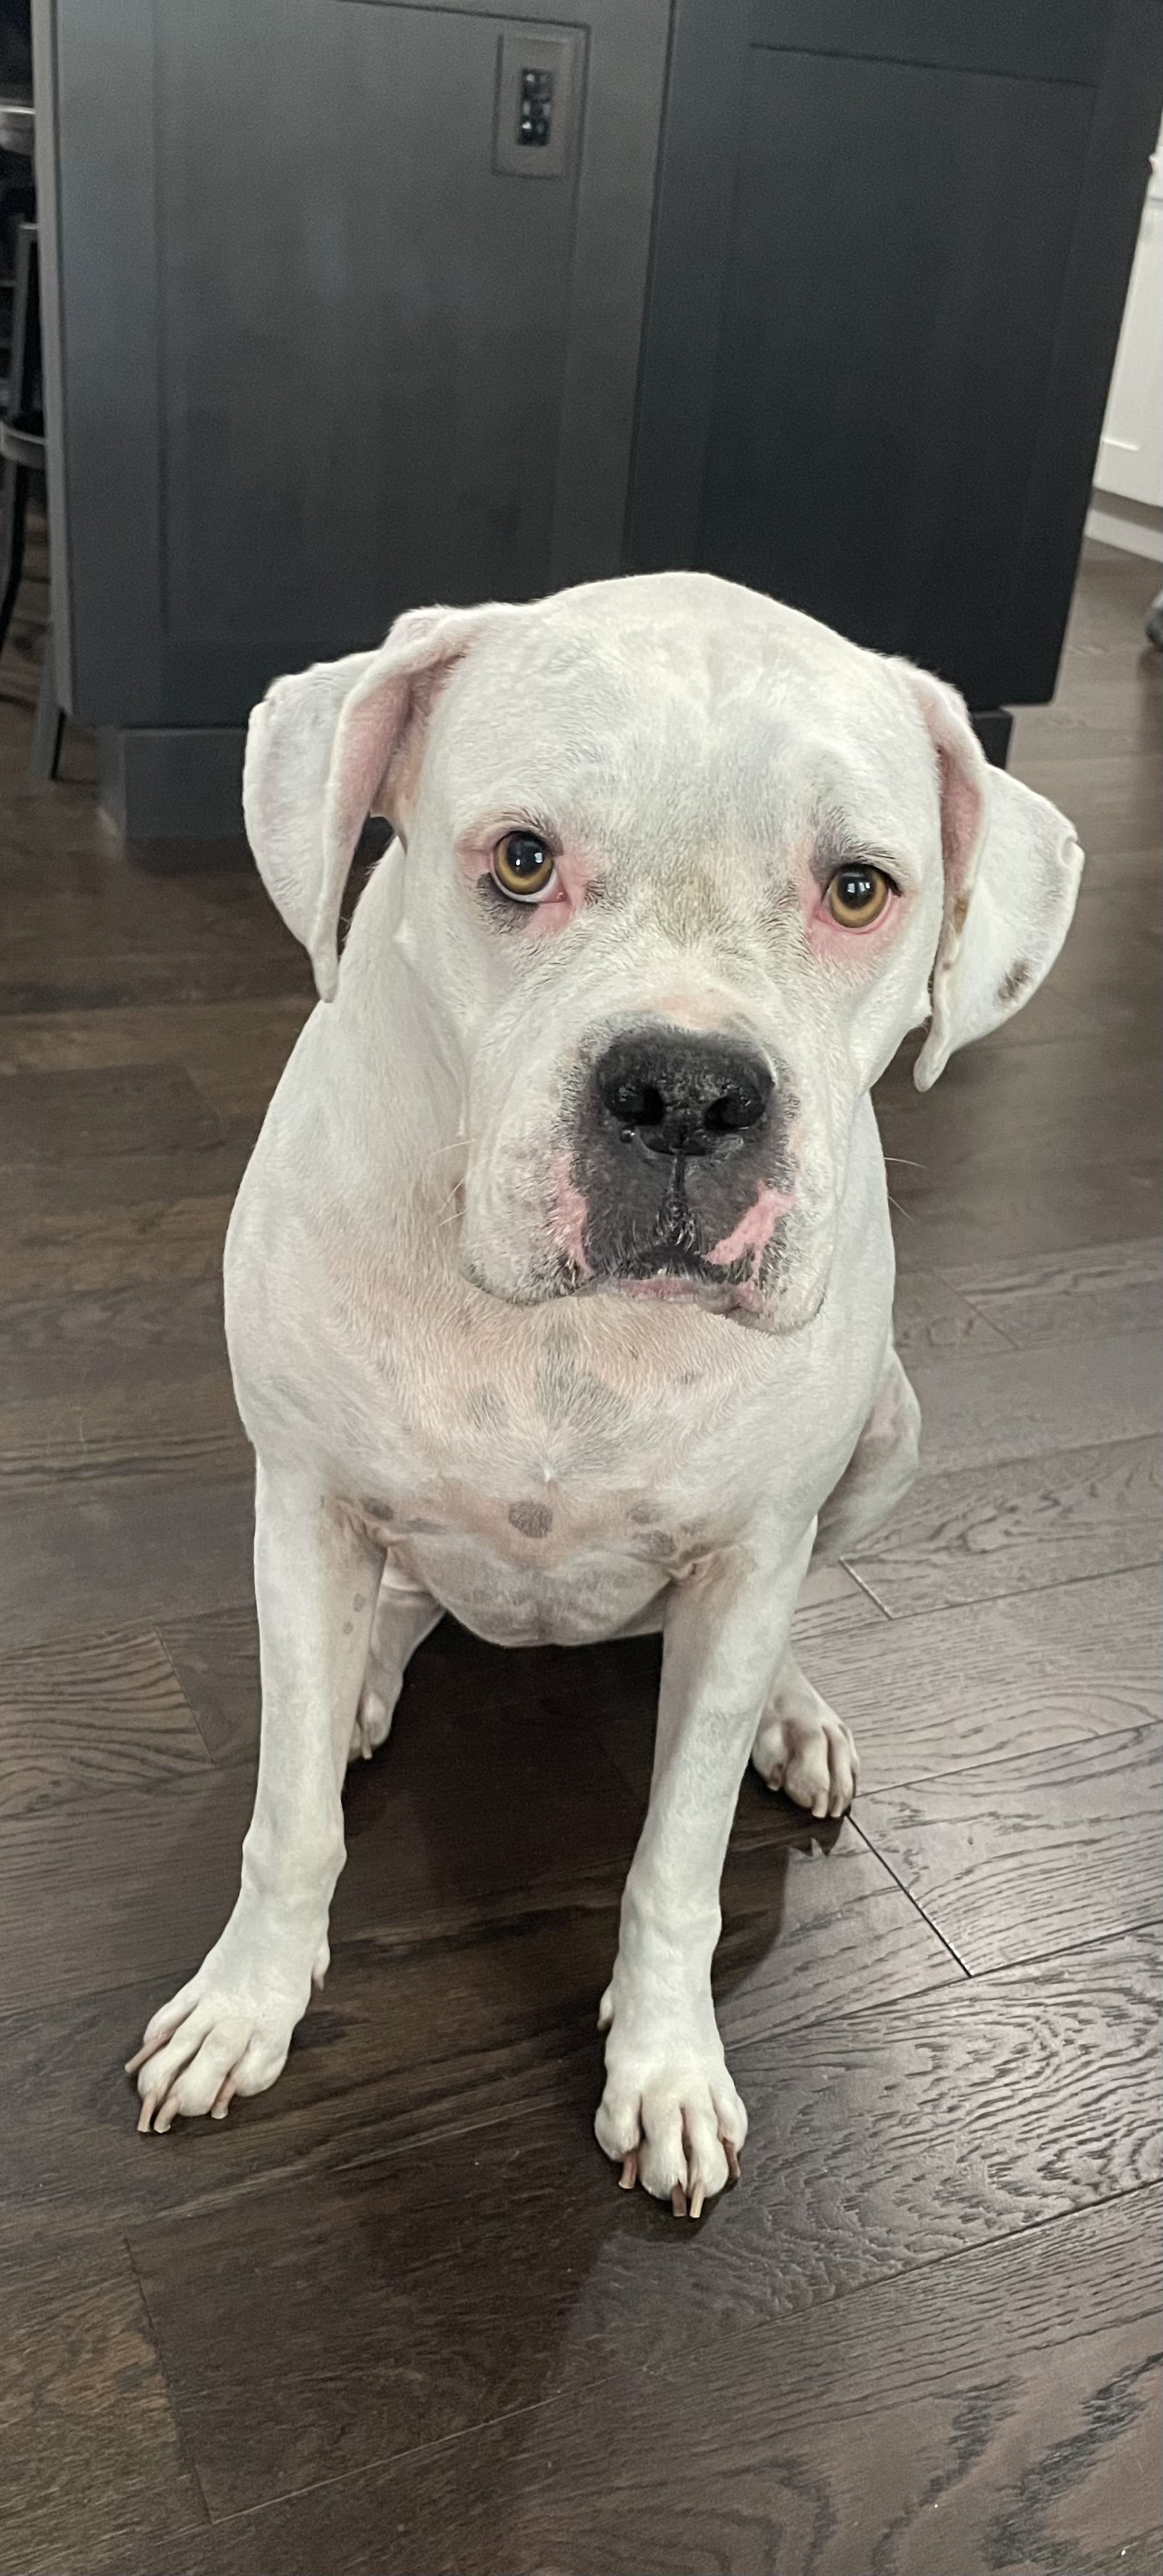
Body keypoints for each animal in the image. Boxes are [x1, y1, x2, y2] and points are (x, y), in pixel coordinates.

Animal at [128, 573, 1083, 2212]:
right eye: (521, 859)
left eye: (857, 890)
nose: (688, 1091)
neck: (571, 1333)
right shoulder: (303, 1499)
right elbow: (288, 1822)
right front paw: (247, 2001)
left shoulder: (749, 1554)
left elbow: (675, 1863)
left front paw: (666, 2065)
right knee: (393, 1611)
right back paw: (368, 1675)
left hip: (887, 1436)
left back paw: (790, 1715)